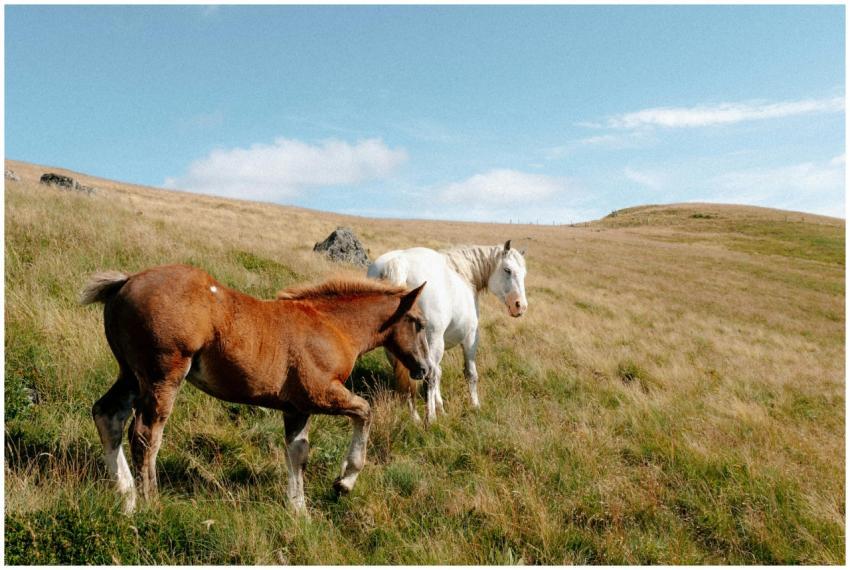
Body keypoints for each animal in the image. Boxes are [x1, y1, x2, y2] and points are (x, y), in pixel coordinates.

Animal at [81, 264, 430, 514]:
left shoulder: (297, 408)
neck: (333, 326)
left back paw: (127, 499)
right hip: (162, 376)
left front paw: (299, 512)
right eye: (418, 322)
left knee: (107, 416)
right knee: (145, 435)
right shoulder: (320, 394)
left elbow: (298, 453)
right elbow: (365, 412)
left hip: (131, 375)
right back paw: (150, 503)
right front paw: (345, 481)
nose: (424, 369)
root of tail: (125, 282)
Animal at [367, 240, 527, 424]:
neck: (465, 275)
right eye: (507, 270)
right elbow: (470, 374)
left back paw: (415, 418)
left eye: (524, 274)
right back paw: (430, 418)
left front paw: (441, 408)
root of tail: (400, 263)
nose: (520, 306)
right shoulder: (470, 338)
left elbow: (438, 373)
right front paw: (475, 405)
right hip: (433, 340)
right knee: (428, 376)